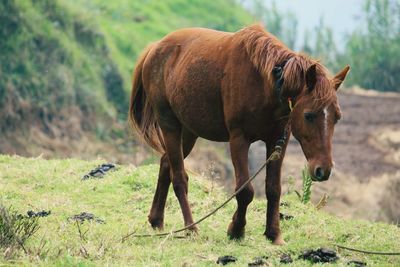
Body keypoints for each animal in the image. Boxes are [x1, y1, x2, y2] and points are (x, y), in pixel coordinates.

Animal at [130, 24, 348, 246]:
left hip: (189, 132)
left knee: (166, 162)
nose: (323, 170)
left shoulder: (278, 140)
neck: (266, 82)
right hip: (170, 125)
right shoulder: (238, 139)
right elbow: (245, 190)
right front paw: (236, 229)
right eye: (308, 115)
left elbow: (273, 189)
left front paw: (273, 234)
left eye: (337, 117)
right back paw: (191, 228)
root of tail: (155, 47)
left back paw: (156, 220)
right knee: (179, 177)